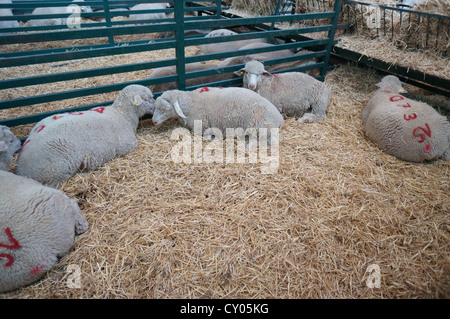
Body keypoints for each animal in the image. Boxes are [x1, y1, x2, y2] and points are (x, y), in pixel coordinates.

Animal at [15, 84, 156, 188]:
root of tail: (21, 169)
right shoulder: (127, 146)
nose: (156, 106)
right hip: (56, 170)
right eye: (147, 98)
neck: (121, 114)